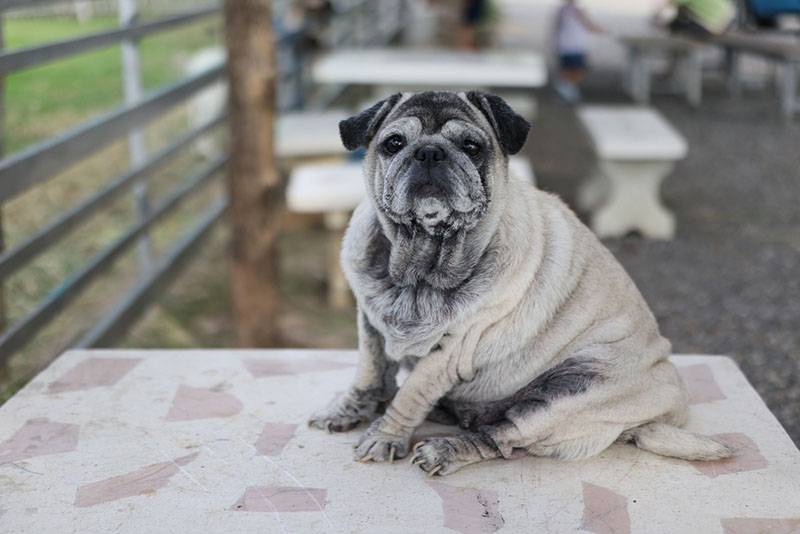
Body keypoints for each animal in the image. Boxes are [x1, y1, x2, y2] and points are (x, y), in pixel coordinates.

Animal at [310, 92, 736, 478]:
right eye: (394, 143)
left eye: (472, 147)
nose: (429, 152)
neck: (421, 266)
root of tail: (657, 417)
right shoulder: (370, 323)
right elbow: (368, 373)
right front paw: (349, 410)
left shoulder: (451, 350)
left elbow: (412, 394)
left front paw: (385, 435)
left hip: (571, 391)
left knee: (500, 437)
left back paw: (446, 448)